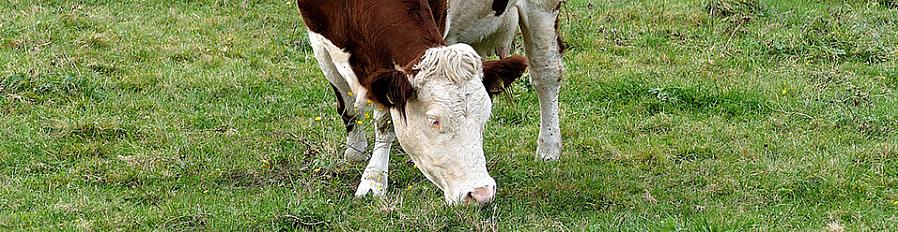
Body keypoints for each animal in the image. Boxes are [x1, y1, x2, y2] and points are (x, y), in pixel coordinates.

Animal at [298, 0, 564, 205]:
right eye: (434, 120)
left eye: (484, 118)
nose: (480, 193)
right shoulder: (320, 40)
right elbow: (347, 106)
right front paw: (355, 151)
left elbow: (386, 120)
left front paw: (373, 180)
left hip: (543, 9)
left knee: (546, 73)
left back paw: (549, 147)